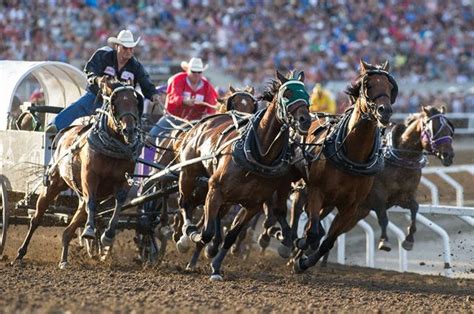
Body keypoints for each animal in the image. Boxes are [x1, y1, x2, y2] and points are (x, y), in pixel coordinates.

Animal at [13, 78, 141, 268]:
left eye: (135, 101)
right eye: (115, 102)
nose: (129, 130)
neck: (111, 149)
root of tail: (67, 130)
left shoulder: (123, 182)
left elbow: (118, 204)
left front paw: (107, 236)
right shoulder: (90, 177)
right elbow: (92, 203)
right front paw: (89, 230)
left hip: (80, 198)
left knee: (69, 228)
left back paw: (64, 259)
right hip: (52, 184)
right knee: (36, 218)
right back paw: (21, 252)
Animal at [177, 71, 312, 280]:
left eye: (306, 94)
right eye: (287, 93)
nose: (305, 120)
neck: (258, 156)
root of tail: (202, 123)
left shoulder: (253, 205)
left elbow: (231, 235)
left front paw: (216, 267)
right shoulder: (215, 190)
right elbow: (206, 232)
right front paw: (198, 239)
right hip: (188, 174)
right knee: (185, 203)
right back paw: (186, 237)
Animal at [294, 60, 398, 272]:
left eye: (390, 87)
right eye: (368, 85)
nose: (385, 111)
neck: (352, 156)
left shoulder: (351, 206)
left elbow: (327, 241)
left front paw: (305, 262)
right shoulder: (316, 191)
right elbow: (311, 232)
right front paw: (301, 248)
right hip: (305, 189)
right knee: (301, 212)